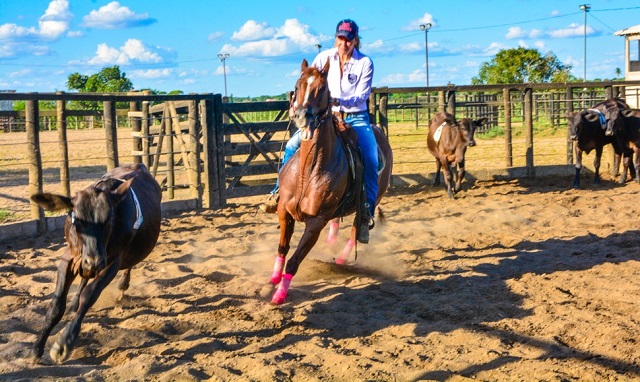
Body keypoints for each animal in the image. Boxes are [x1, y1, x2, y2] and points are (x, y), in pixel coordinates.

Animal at [260, 59, 390, 304]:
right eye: (298, 85)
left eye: (322, 88)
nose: (301, 116)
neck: (308, 172)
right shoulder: (284, 212)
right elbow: (282, 248)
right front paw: (270, 283)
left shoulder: (315, 222)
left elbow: (294, 260)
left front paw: (280, 294)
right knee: (337, 223)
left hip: (371, 199)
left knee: (357, 227)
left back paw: (342, 258)